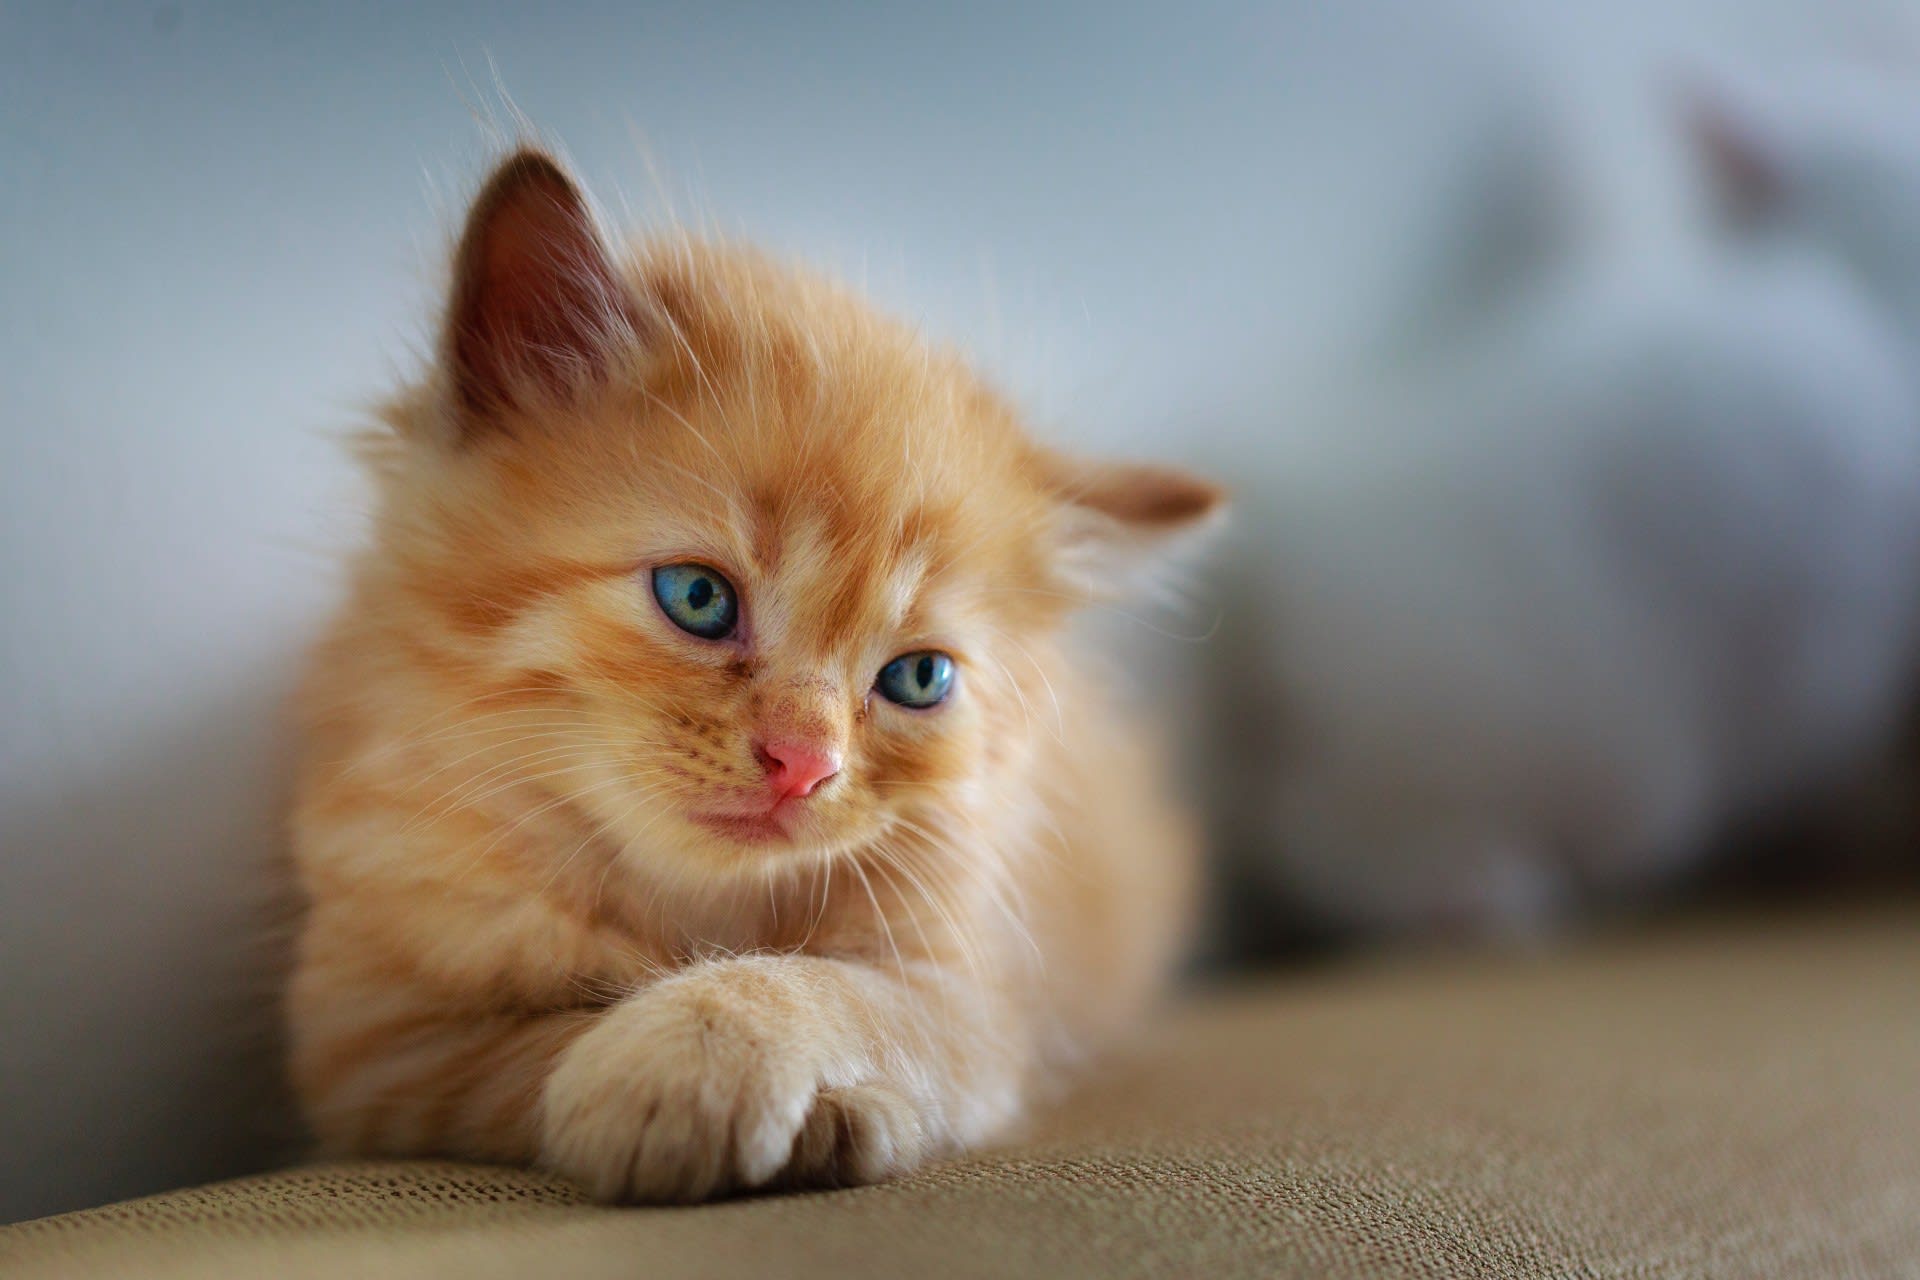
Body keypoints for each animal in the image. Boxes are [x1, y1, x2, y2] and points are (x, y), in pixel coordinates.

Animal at [284, 147, 1213, 1205]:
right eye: (697, 598)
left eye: (918, 678)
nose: (804, 764)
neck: (690, 904)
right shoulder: (373, 1040)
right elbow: (531, 1048)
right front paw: (661, 1086)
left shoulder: (970, 998)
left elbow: (830, 987)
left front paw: (706, 1053)